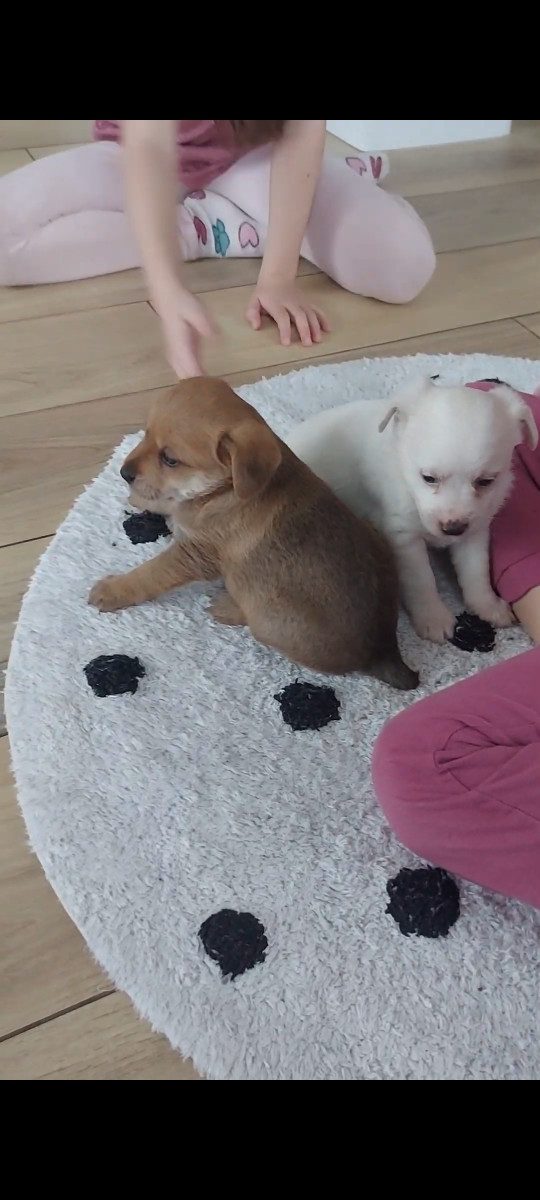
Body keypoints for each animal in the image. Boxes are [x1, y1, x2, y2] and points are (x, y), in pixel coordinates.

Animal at [89, 378, 418, 688]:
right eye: (145, 433)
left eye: (170, 459)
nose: (124, 473)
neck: (224, 489)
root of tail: (383, 647)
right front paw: (143, 498)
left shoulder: (193, 554)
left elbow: (150, 574)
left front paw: (112, 590)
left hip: (264, 612)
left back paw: (226, 606)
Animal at [287, 375, 538, 643]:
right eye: (428, 478)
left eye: (486, 481)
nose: (453, 528)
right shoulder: (403, 537)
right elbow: (422, 579)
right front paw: (433, 617)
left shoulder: (475, 530)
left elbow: (475, 570)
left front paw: (487, 605)